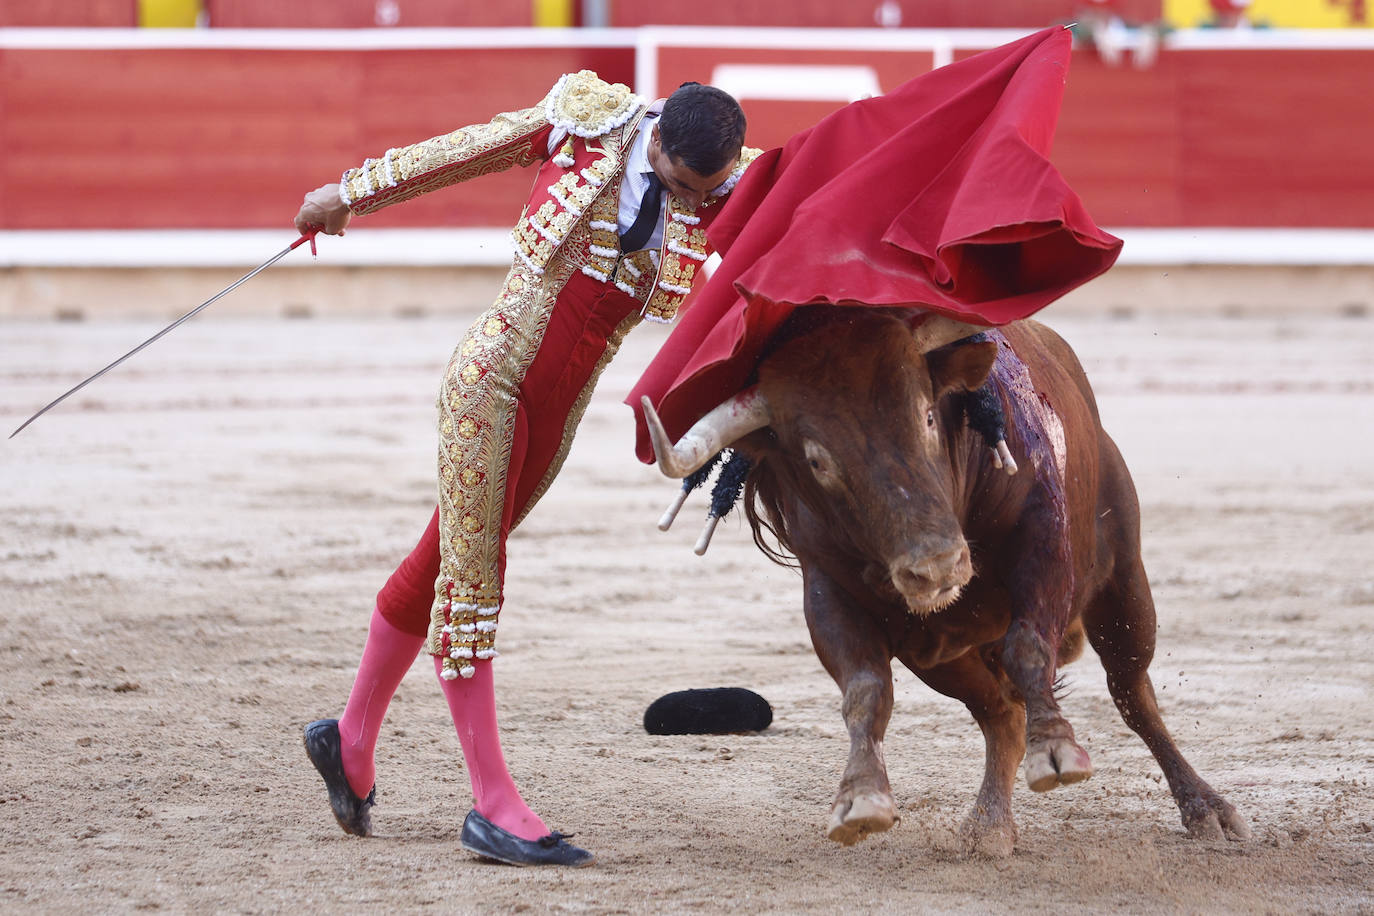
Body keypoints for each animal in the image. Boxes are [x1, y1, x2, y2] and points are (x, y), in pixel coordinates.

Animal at [637, 310, 1253, 862]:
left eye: (929, 417)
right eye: (817, 460)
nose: (935, 566)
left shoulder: (1044, 540)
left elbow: (1030, 646)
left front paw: (1057, 750)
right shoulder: (828, 594)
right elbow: (864, 690)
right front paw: (861, 798)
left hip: (1123, 583)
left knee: (1132, 693)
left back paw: (1206, 809)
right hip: (941, 656)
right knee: (1001, 717)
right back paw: (989, 826)